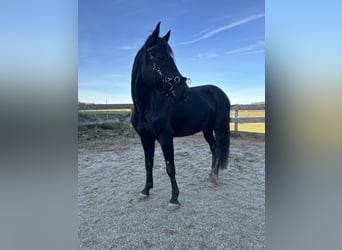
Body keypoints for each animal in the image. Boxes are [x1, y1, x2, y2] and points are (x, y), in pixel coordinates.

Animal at [130, 22, 230, 209]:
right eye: (159, 57)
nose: (183, 91)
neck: (146, 107)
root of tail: (218, 92)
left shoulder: (166, 138)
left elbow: (170, 168)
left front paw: (174, 199)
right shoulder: (145, 138)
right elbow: (148, 164)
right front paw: (145, 191)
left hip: (219, 127)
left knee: (219, 148)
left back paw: (214, 178)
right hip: (206, 130)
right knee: (214, 148)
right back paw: (212, 175)